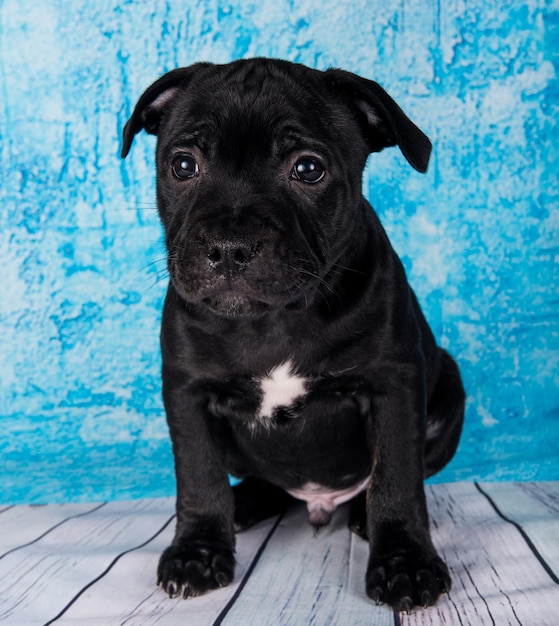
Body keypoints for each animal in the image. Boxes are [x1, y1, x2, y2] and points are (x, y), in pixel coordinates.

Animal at [121, 58, 464, 608]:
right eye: (183, 165)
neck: (274, 318)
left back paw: (361, 517)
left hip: (449, 390)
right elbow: (198, 474)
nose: (229, 246)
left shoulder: (393, 386)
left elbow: (397, 478)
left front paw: (405, 563)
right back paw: (243, 503)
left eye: (308, 169)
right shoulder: (188, 393)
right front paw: (197, 551)